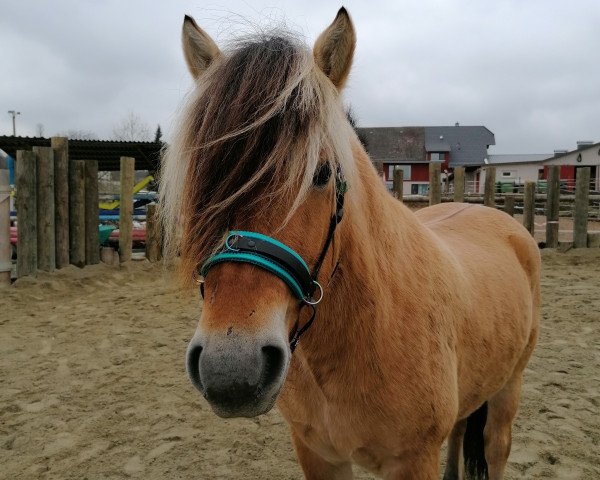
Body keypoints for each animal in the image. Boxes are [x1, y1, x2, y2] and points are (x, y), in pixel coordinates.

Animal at [158, 8, 540, 480]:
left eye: (321, 173)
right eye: (199, 178)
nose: (231, 370)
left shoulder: (414, 461)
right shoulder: (318, 453)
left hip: (509, 389)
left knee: (495, 446)